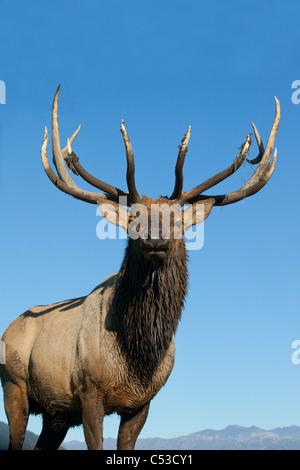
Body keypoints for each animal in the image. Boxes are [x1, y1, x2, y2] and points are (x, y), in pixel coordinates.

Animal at [0, 88, 282, 452]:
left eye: (176, 219)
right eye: (134, 218)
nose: (155, 239)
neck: (139, 357)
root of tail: (9, 328)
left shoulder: (142, 403)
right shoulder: (90, 393)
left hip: (56, 413)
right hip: (14, 386)